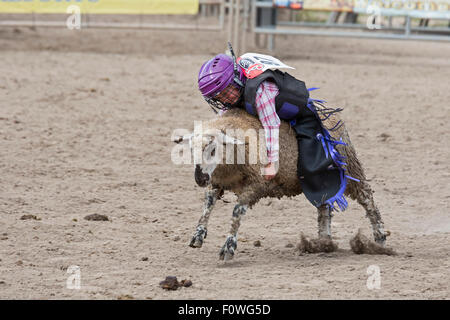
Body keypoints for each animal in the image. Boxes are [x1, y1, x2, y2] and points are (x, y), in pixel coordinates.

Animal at [175, 106, 390, 262]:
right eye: (191, 150)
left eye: (213, 149)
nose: (199, 179)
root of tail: (329, 114)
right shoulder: (217, 182)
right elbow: (208, 205)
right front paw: (198, 235)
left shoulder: (256, 184)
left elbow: (236, 212)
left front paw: (228, 247)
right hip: (320, 177)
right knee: (324, 205)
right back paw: (323, 242)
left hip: (350, 167)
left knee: (366, 196)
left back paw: (379, 238)